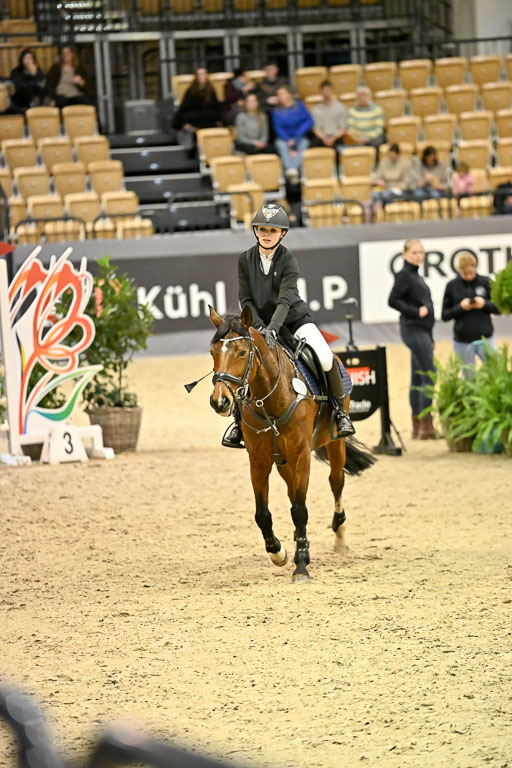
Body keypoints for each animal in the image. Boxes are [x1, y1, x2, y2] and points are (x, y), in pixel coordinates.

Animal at [208, 306, 375, 583]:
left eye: (242, 352)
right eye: (212, 352)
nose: (219, 401)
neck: (270, 398)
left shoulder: (301, 455)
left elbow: (299, 510)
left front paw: (301, 565)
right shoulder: (259, 460)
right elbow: (263, 514)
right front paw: (278, 552)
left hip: (333, 443)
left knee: (336, 482)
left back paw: (339, 537)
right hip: (282, 461)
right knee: (292, 491)